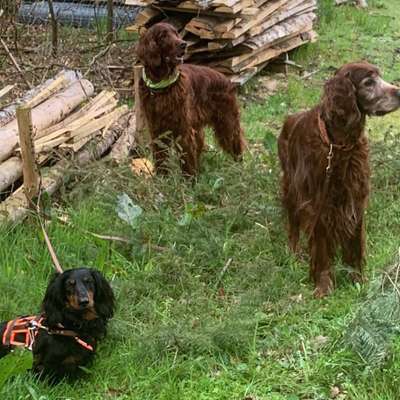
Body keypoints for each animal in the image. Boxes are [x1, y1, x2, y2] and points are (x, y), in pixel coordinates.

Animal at [136, 22, 245, 176]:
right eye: (163, 36)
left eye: (176, 33)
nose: (183, 44)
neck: (162, 86)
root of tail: (226, 79)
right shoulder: (157, 130)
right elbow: (161, 157)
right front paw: (162, 178)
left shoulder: (183, 128)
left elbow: (186, 157)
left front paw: (189, 179)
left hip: (227, 123)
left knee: (236, 145)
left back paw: (239, 169)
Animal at [278, 61, 400, 296]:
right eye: (368, 82)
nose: (399, 92)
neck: (340, 145)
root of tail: (289, 119)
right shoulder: (318, 205)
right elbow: (322, 249)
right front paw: (324, 285)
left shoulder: (355, 199)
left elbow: (355, 243)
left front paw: (357, 279)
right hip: (290, 189)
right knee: (293, 224)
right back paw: (293, 252)